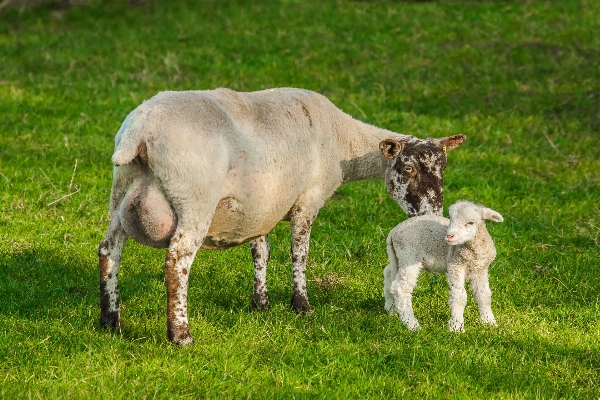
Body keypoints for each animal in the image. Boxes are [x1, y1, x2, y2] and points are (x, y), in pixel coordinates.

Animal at [97, 87, 468, 344]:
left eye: (443, 169)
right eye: (408, 168)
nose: (433, 214)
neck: (342, 140)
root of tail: (141, 130)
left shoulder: (260, 205)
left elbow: (261, 251)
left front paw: (260, 303)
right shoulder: (308, 199)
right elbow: (299, 253)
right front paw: (301, 304)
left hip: (120, 191)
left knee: (108, 251)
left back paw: (110, 322)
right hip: (194, 200)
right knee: (177, 262)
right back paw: (180, 335)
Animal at [384, 200, 502, 332]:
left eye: (471, 223)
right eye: (451, 219)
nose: (449, 236)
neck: (473, 251)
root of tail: (393, 232)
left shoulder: (481, 270)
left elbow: (484, 295)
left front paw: (489, 322)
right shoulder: (455, 265)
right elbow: (460, 296)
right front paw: (457, 327)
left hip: (397, 257)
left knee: (389, 274)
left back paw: (391, 309)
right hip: (409, 256)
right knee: (401, 289)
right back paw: (412, 325)